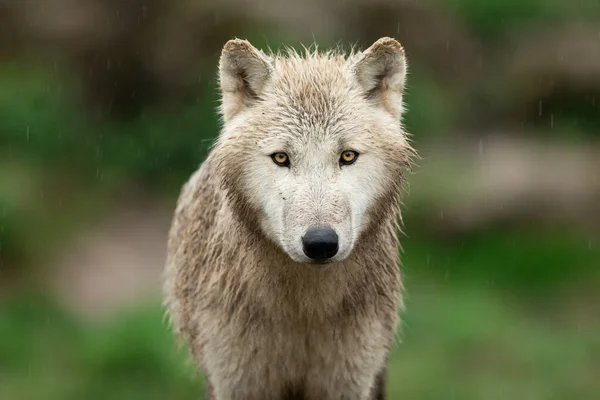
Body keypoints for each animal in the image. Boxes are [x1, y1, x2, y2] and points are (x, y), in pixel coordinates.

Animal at [164, 37, 418, 400]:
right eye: (281, 158)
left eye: (348, 156)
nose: (320, 243)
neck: (303, 309)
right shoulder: (236, 381)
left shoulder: (349, 380)